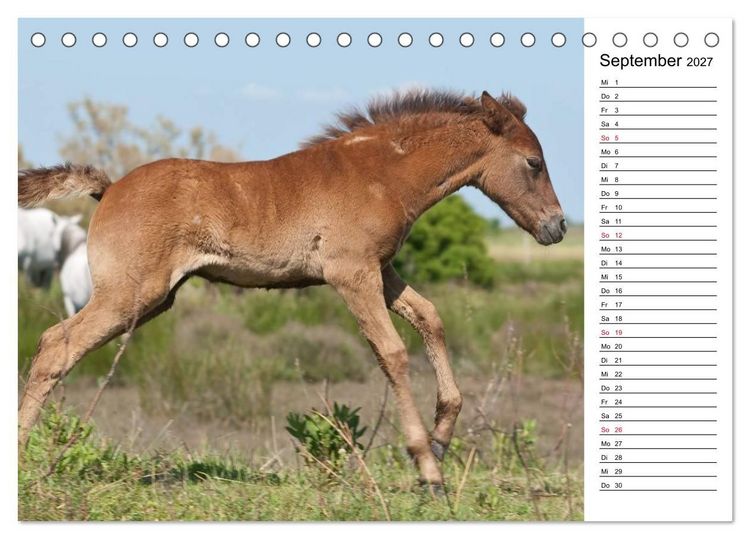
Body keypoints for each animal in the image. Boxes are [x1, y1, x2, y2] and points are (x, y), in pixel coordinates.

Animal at [17, 89, 566, 488]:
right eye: (534, 162)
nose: (558, 227)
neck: (381, 173)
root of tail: (109, 189)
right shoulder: (351, 273)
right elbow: (391, 351)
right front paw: (427, 468)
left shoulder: (381, 270)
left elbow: (430, 317)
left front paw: (442, 438)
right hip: (130, 295)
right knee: (56, 345)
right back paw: (23, 457)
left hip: (148, 300)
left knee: (55, 343)